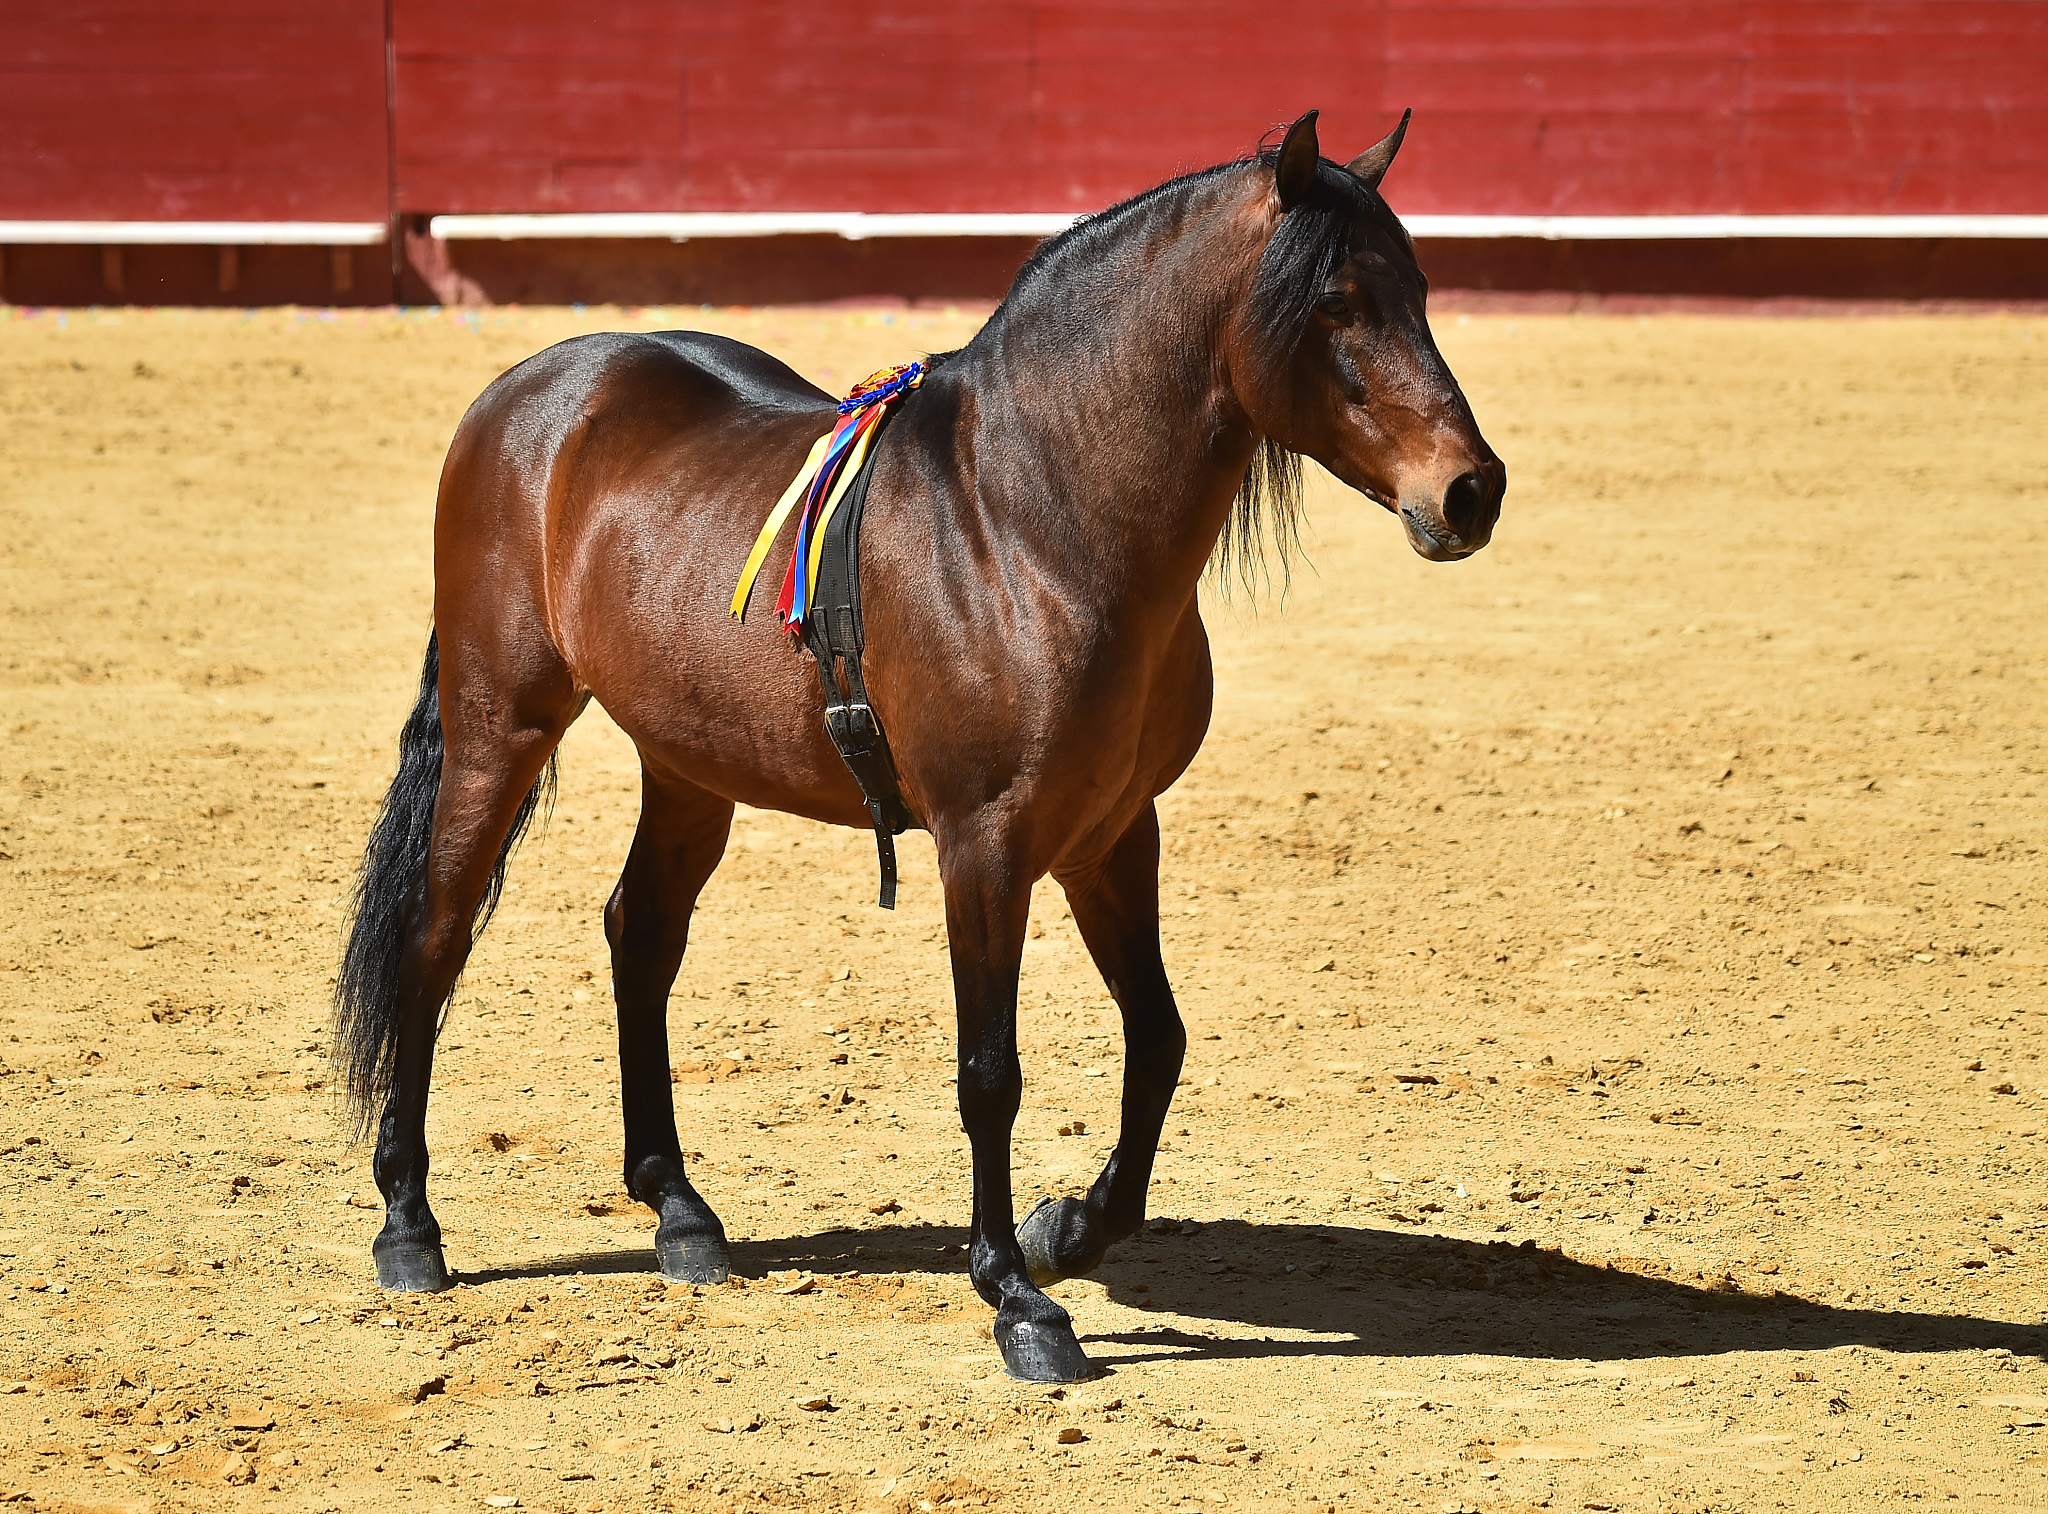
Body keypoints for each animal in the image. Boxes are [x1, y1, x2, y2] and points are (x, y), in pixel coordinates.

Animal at [332, 109, 1504, 1383]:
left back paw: (681, 1213)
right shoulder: (981, 844)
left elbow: (1157, 1034)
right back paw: (409, 1223)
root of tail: (526, 392)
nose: (1470, 491)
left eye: (1418, 289)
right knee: (435, 933)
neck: (1033, 521)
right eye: (1336, 299)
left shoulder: (1109, 834)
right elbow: (990, 1069)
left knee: (640, 934)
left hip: (686, 764)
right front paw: (1016, 1297)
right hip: (502, 721)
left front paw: (1067, 1226)